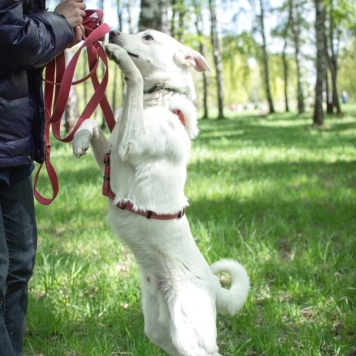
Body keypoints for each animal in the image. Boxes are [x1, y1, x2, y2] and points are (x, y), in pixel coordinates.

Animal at [72, 30, 250, 356]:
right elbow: (93, 123)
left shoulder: (130, 144)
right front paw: (78, 139)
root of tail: (211, 282)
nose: (112, 32)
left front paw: (120, 55)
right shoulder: (112, 157)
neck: (155, 103)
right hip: (160, 332)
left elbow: (133, 78)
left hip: (188, 331)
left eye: (148, 36)